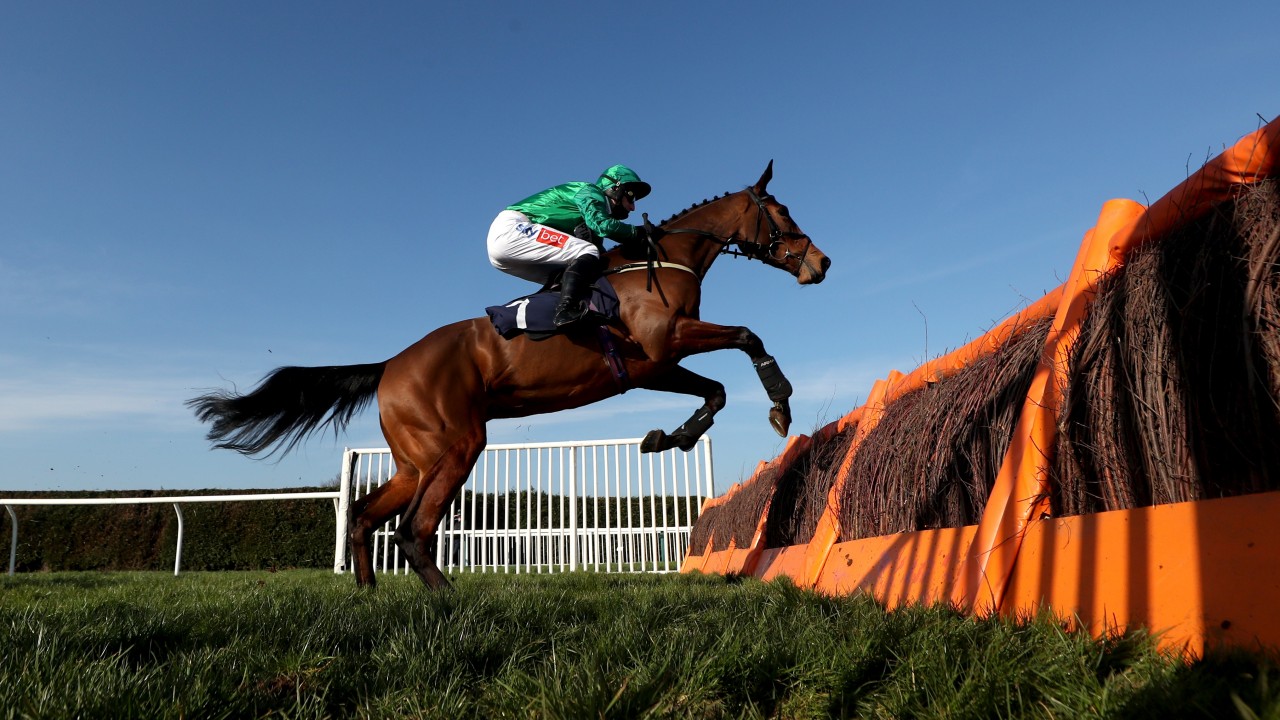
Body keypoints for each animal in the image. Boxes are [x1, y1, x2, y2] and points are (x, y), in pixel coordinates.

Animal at [188, 161, 830, 589]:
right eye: (783, 212)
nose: (821, 263)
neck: (660, 261)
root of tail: (391, 365)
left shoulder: (651, 366)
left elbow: (714, 392)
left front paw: (667, 437)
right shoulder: (663, 345)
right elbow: (748, 338)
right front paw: (780, 403)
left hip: (414, 457)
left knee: (369, 516)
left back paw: (368, 597)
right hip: (457, 444)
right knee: (413, 531)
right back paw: (449, 605)